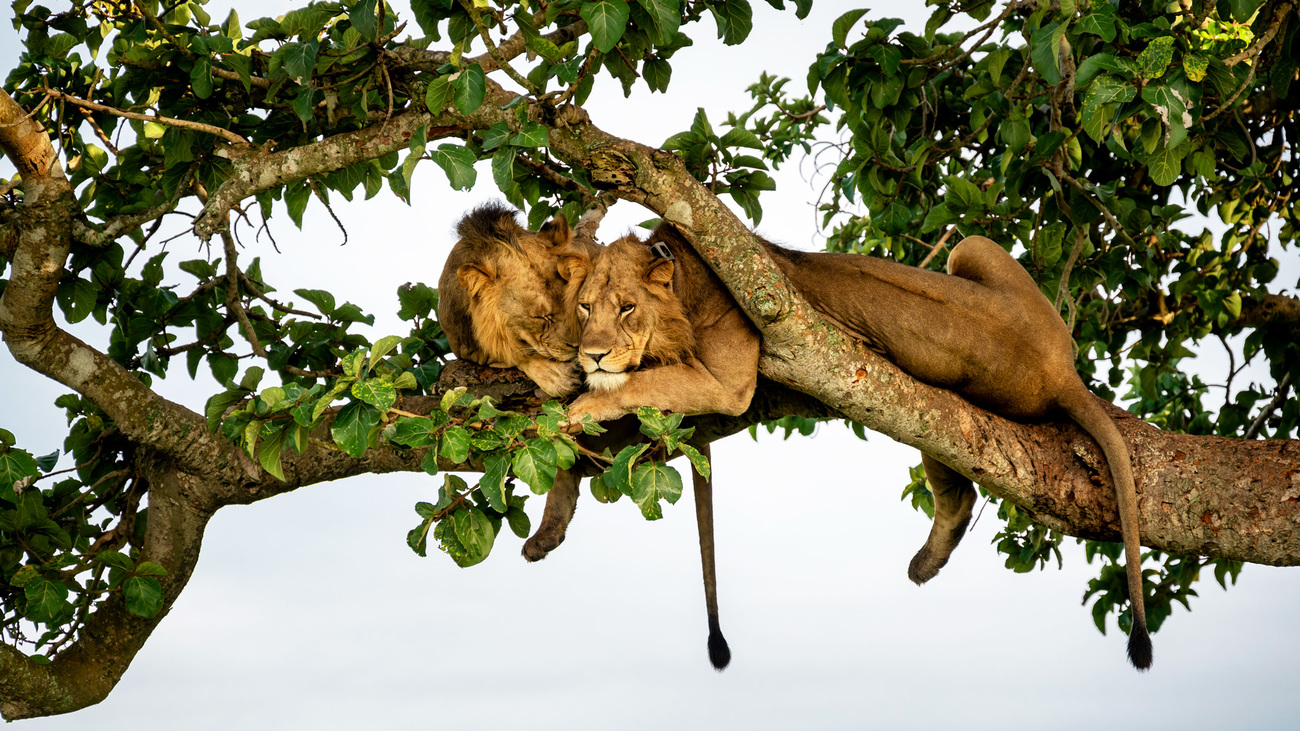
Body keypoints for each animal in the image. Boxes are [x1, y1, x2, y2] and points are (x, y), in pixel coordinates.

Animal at [548, 218, 1149, 671]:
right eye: (585, 307)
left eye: (627, 308)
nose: (591, 354)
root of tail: (1063, 372)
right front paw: (554, 509)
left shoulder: (728, 383)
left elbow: (635, 387)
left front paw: (583, 406)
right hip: (945, 370)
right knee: (957, 492)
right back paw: (927, 564)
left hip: (965, 299)